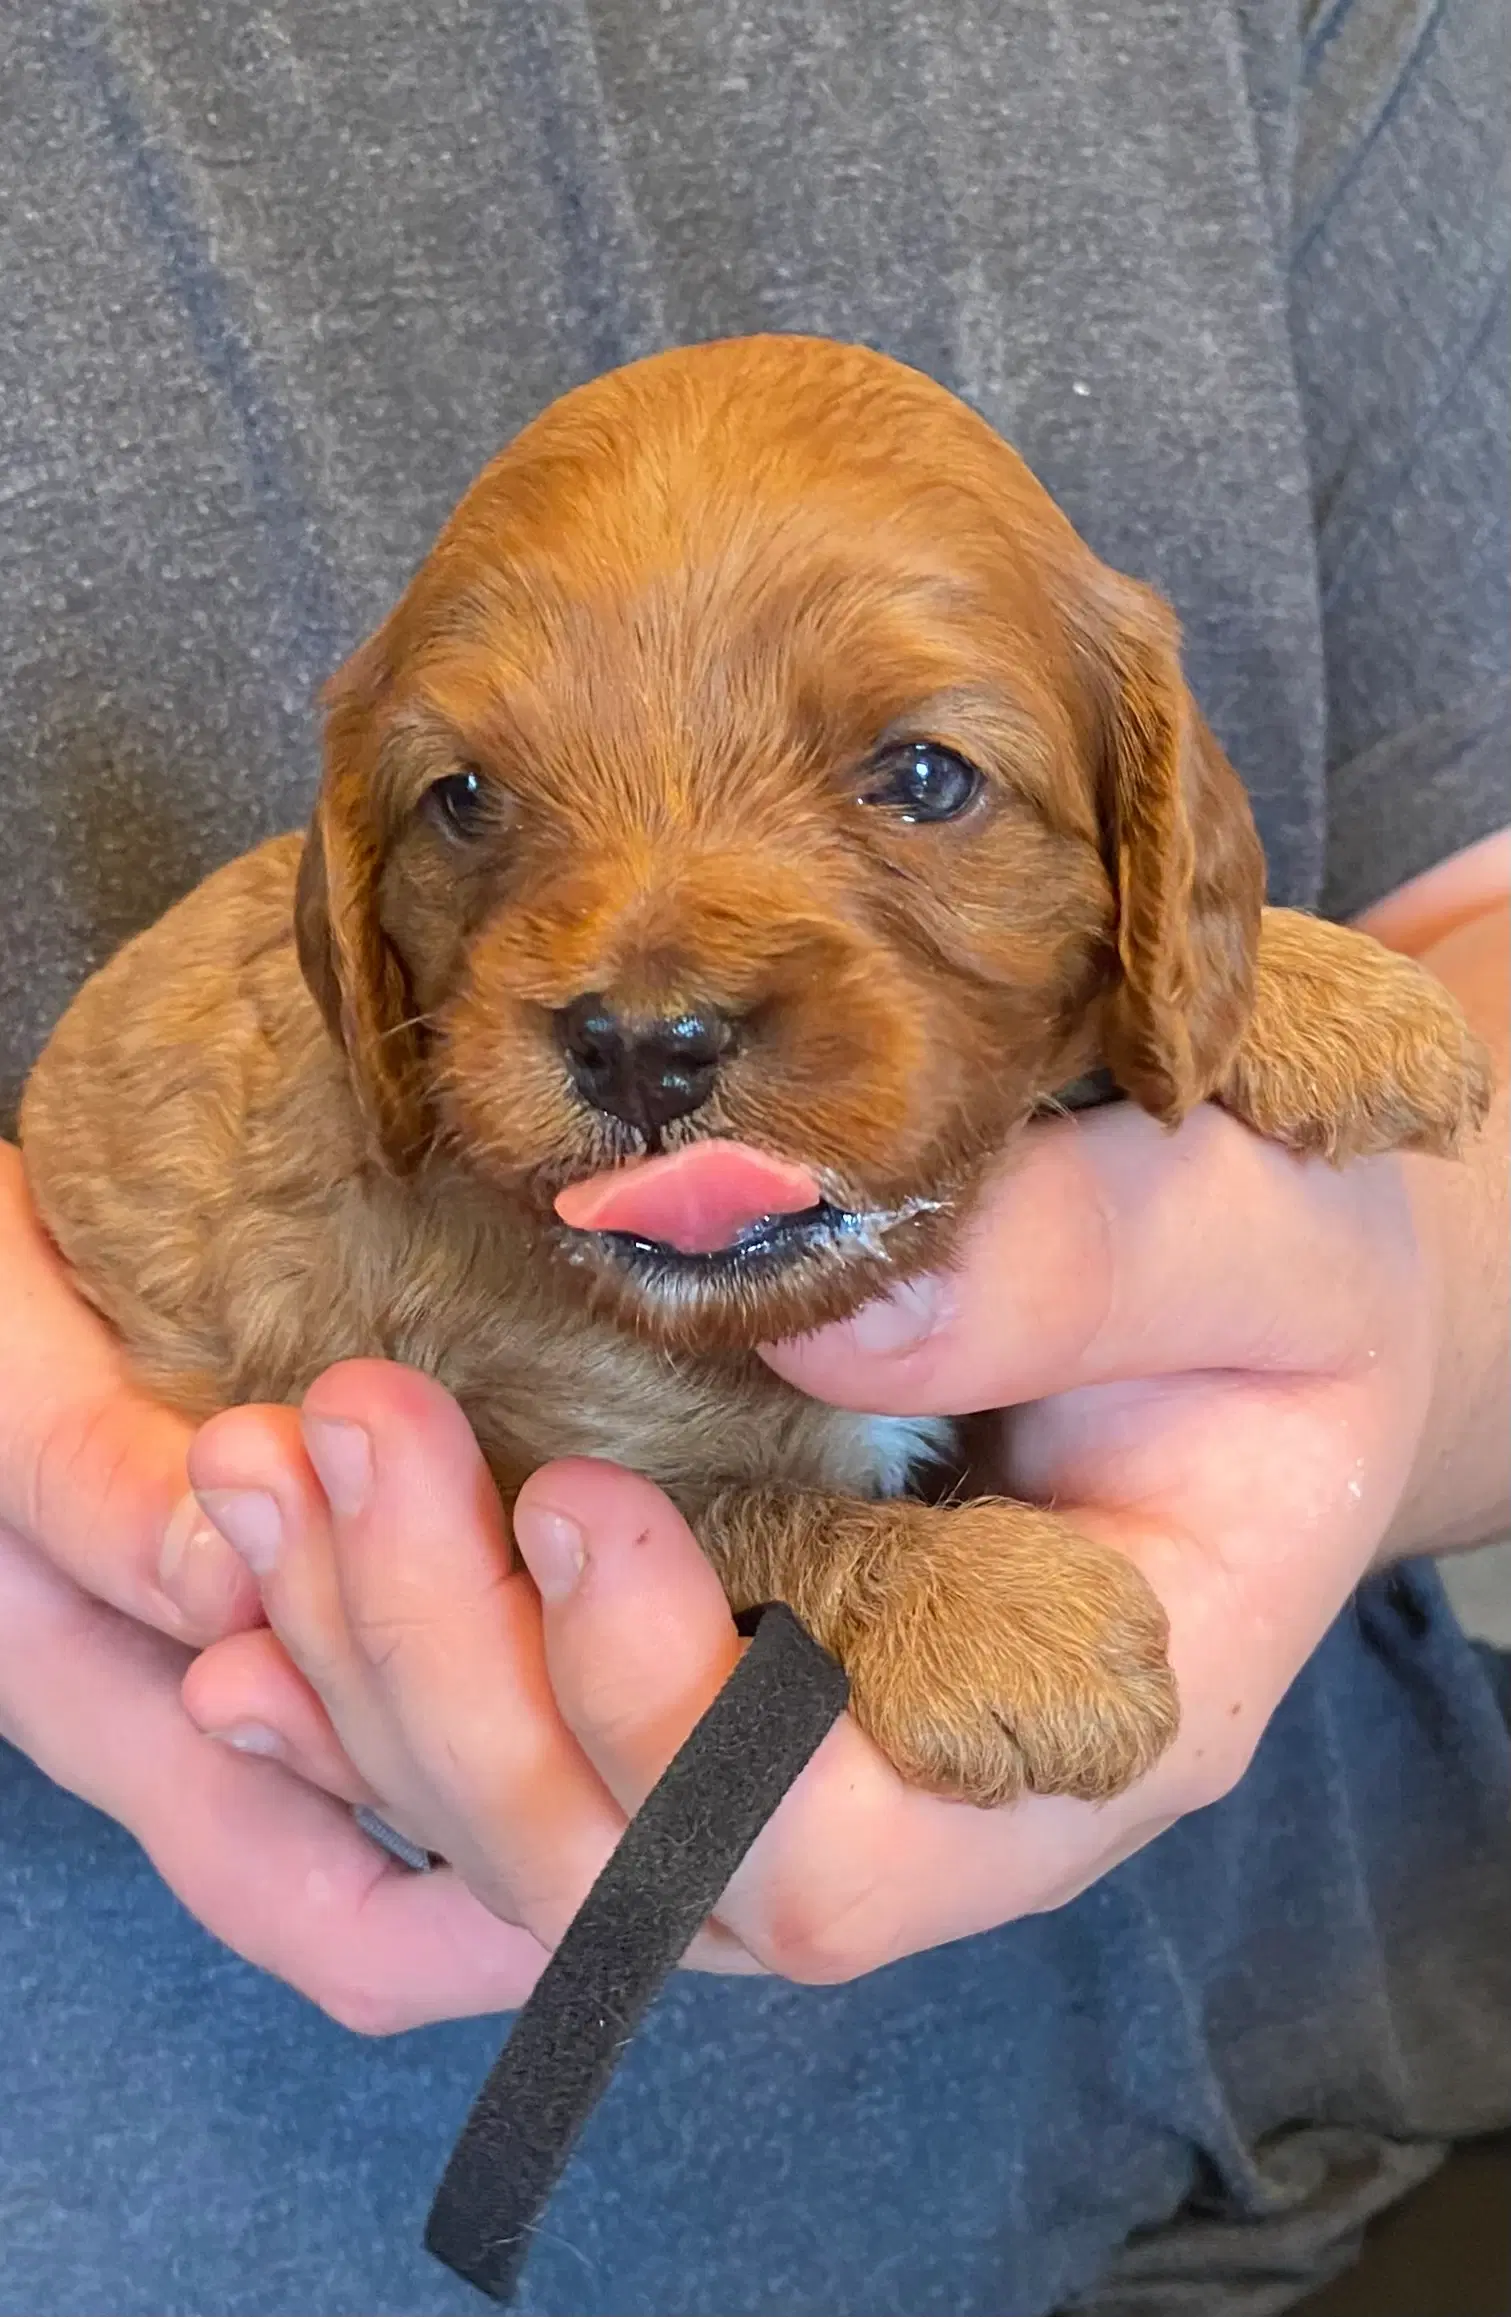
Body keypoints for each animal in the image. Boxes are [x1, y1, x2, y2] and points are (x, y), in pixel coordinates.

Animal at [23, 335, 1483, 1807]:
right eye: (465, 798)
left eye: (920, 774)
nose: (638, 1047)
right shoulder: (502, 1461)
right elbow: (735, 1503)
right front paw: (997, 1617)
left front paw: (1330, 996)